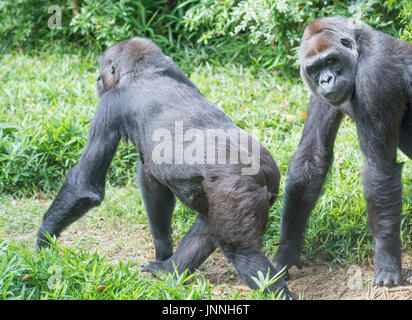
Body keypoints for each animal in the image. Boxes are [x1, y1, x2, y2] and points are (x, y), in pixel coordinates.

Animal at [35, 37, 292, 298]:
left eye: (104, 70)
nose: (97, 80)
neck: (146, 71)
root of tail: (266, 171)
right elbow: (154, 186)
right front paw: (163, 251)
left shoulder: (111, 104)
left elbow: (85, 185)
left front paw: (45, 238)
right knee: (209, 224)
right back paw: (170, 271)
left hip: (236, 187)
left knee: (241, 252)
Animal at [274, 16, 412, 288]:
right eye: (315, 69)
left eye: (331, 61)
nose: (326, 80)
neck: (359, 50)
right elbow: (311, 158)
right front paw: (286, 250)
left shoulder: (375, 76)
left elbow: (379, 169)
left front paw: (386, 258)